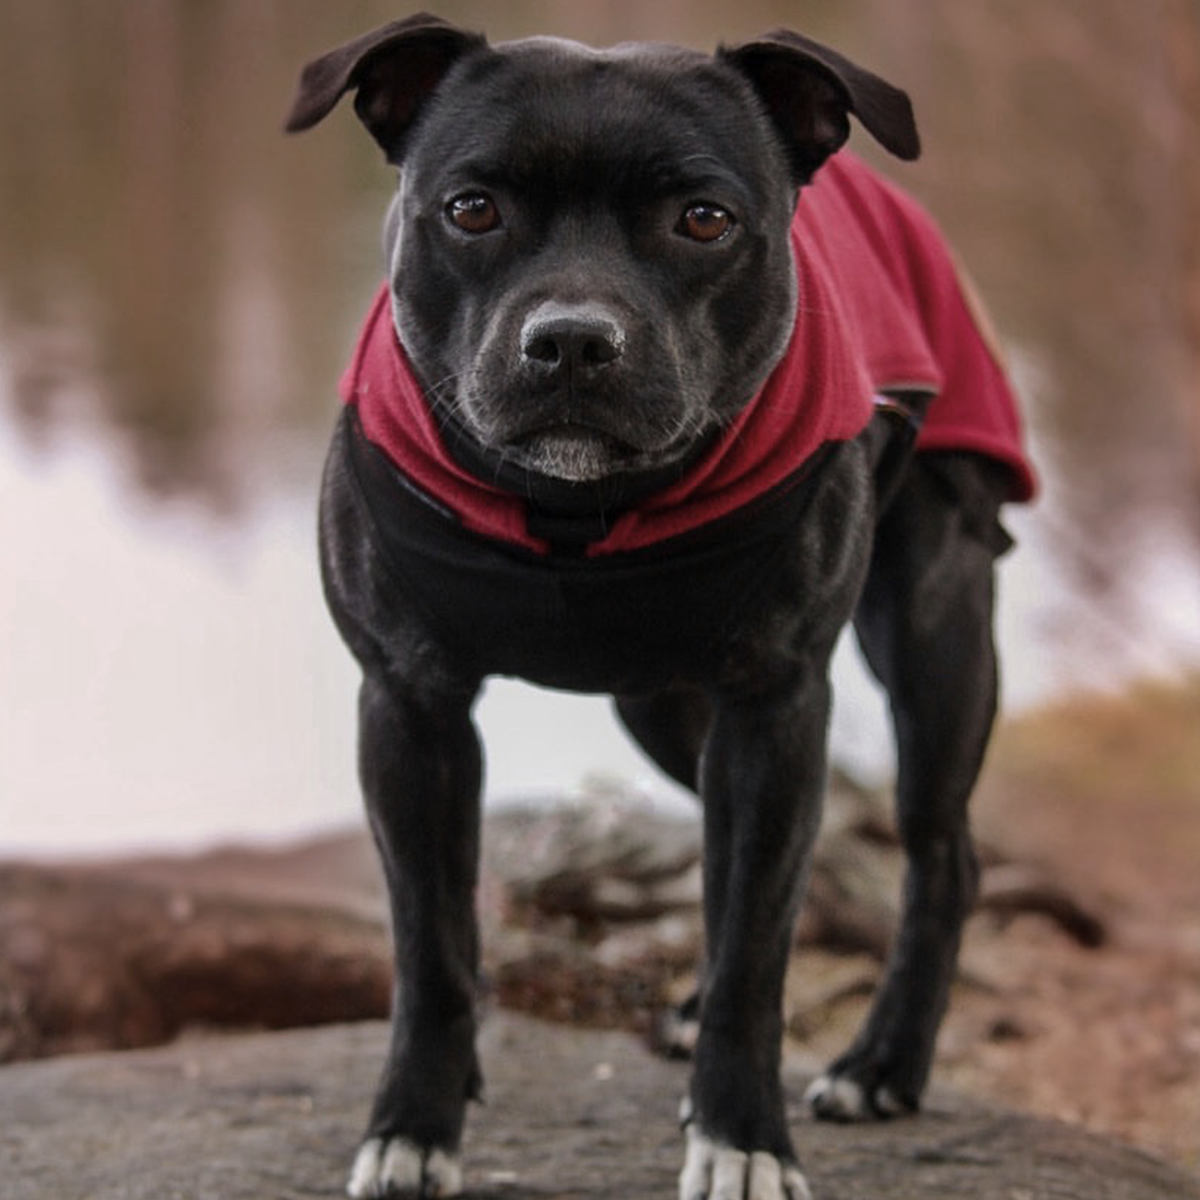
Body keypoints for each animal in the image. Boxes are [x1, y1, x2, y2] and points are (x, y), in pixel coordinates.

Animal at [288, 14, 1032, 1195]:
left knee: (937, 857)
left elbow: (754, 961)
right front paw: (412, 1127)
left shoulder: (778, 705)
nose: (572, 340)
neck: (575, 512)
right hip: (667, 710)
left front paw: (741, 1137)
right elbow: (431, 950)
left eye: (704, 219)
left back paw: (880, 1065)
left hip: (933, 634)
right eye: (471, 208)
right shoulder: (409, 709)